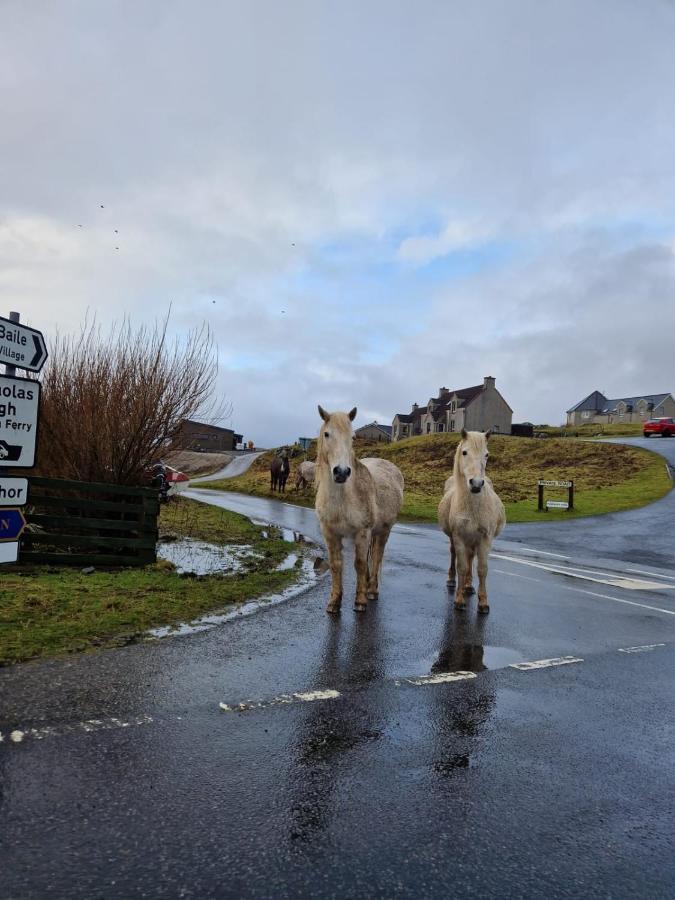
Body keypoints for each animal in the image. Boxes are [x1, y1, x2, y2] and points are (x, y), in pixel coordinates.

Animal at [316, 406, 404, 612]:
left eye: (353, 437)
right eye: (327, 434)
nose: (341, 472)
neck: (342, 499)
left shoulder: (362, 532)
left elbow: (360, 564)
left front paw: (360, 601)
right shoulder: (330, 533)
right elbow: (336, 565)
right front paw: (334, 601)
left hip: (383, 531)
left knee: (377, 556)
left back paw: (371, 590)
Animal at [440, 428, 504, 612]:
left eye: (487, 454)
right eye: (464, 452)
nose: (476, 484)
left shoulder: (485, 539)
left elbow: (482, 569)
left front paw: (483, 602)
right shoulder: (459, 537)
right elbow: (462, 567)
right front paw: (459, 600)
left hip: (474, 540)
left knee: (471, 558)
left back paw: (468, 586)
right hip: (455, 539)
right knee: (455, 555)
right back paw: (452, 581)